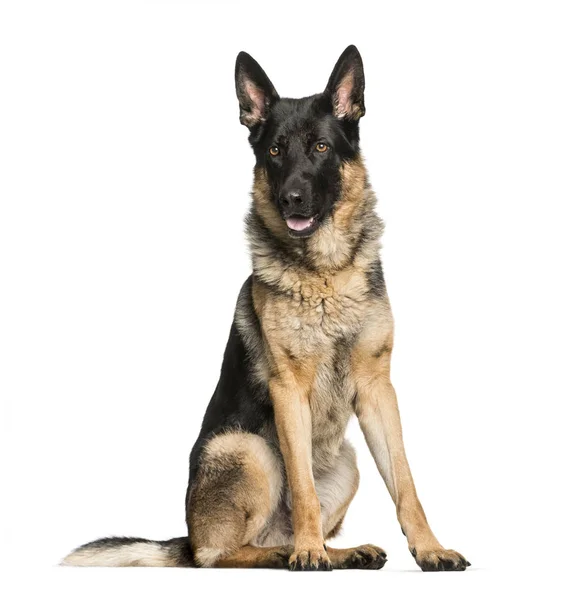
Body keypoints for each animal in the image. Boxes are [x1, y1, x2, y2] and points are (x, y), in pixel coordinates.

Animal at [63, 47, 468, 572]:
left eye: (320, 147)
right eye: (274, 152)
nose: (291, 198)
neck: (324, 272)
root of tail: (187, 536)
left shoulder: (378, 390)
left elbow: (406, 484)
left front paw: (429, 549)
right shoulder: (288, 391)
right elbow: (302, 485)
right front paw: (309, 552)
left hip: (348, 462)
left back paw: (341, 552)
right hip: (250, 448)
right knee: (221, 553)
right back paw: (288, 552)